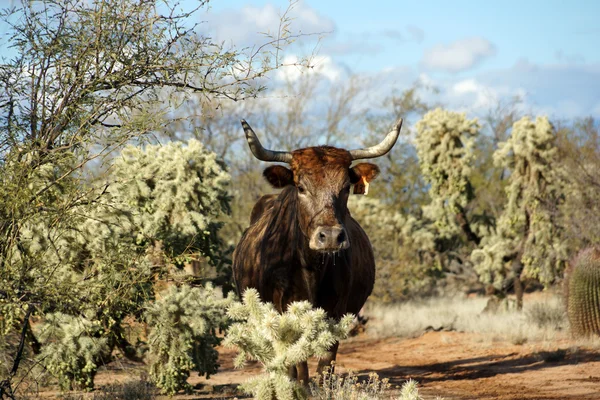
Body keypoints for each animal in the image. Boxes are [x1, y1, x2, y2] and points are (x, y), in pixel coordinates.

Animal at [232, 119, 406, 384]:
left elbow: (325, 365)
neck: (310, 268)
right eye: (301, 187)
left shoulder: (337, 312)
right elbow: (296, 365)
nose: (331, 237)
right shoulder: (284, 313)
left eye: (345, 187)